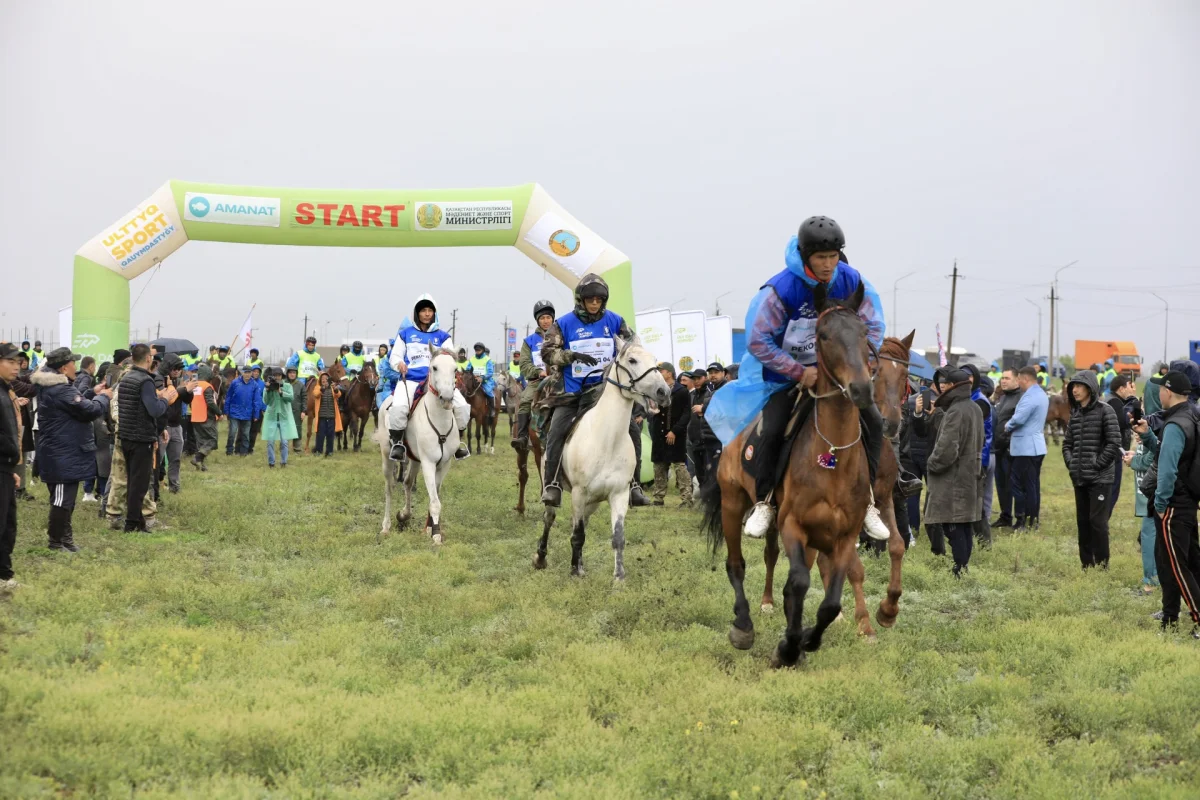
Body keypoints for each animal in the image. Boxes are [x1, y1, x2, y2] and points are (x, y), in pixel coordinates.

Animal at [376, 345, 460, 544]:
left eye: (455, 369)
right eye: (434, 367)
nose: (447, 398)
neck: (440, 422)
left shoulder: (444, 464)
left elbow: (434, 496)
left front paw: (429, 528)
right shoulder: (429, 463)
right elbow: (435, 502)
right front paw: (436, 535)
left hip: (414, 459)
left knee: (407, 483)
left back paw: (403, 515)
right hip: (387, 456)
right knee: (389, 488)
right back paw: (386, 526)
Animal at [532, 335, 672, 582]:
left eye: (654, 359)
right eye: (632, 360)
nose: (663, 392)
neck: (606, 439)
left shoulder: (619, 494)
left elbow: (617, 537)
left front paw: (618, 578)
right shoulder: (579, 493)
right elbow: (577, 535)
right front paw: (574, 571)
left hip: (593, 501)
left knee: (581, 523)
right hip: (553, 487)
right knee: (550, 517)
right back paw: (541, 558)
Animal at [705, 284, 878, 666]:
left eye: (863, 333)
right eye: (824, 335)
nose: (861, 389)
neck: (832, 457)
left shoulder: (843, 535)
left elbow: (830, 602)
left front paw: (805, 642)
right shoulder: (793, 524)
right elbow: (797, 583)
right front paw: (788, 647)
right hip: (732, 501)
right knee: (736, 564)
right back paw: (744, 626)